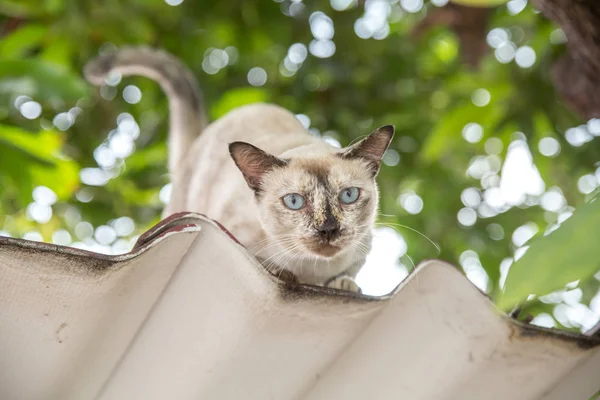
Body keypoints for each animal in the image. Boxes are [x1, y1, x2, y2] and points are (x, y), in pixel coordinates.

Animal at [84, 47, 394, 292]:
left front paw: (344, 284)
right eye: (294, 201)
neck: (311, 269)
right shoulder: (233, 235)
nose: (328, 229)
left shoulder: (360, 251)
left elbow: (346, 275)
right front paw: (285, 273)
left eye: (348, 196)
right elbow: (267, 263)